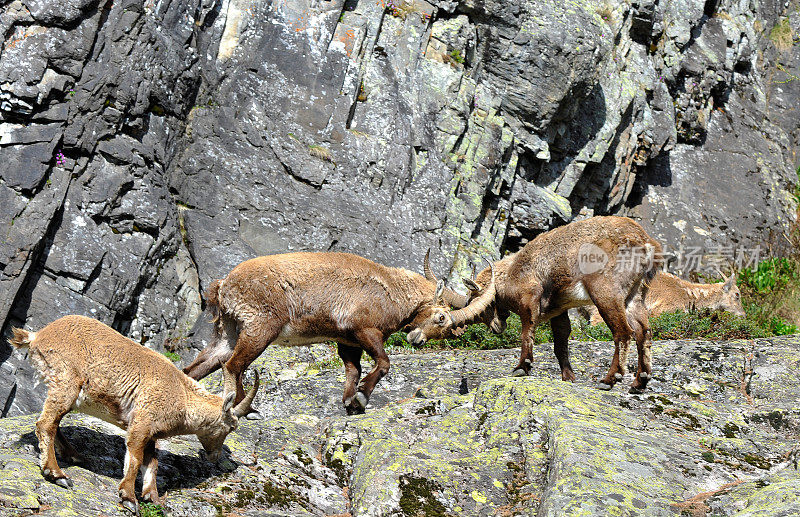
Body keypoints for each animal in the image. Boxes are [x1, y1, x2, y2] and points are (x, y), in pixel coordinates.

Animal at [9, 314, 260, 512]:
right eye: (230, 427)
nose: (214, 457)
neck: (181, 396)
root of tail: (37, 336)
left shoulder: (151, 433)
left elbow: (152, 463)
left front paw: (153, 498)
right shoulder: (142, 422)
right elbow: (136, 458)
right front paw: (129, 498)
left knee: (54, 422)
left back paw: (73, 455)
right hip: (66, 382)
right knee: (45, 424)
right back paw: (57, 474)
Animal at [184, 250, 494, 416]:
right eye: (441, 317)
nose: (416, 339)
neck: (393, 291)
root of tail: (224, 284)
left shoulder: (347, 342)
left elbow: (353, 370)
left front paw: (350, 403)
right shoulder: (365, 330)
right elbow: (383, 363)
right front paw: (361, 398)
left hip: (228, 331)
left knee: (197, 368)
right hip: (260, 327)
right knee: (233, 365)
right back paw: (243, 408)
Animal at [422, 217, 660, 392]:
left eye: (486, 307)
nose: (496, 328)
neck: (511, 273)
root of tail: (646, 243)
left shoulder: (530, 299)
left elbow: (527, 331)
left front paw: (522, 367)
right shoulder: (559, 310)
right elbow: (560, 343)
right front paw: (568, 378)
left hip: (606, 291)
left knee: (623, 332)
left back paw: (609, 379)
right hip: (635, 294)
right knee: (644, 331)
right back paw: (640, 381)